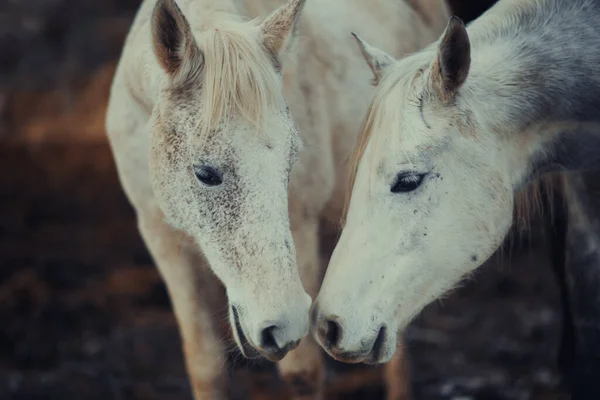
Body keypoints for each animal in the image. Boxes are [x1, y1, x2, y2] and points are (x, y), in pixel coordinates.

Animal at [104, 0, 450, 396]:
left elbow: (303, 373)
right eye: (204, 173)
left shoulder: (302, 226)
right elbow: (205, 366)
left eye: (291, 156)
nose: (280, 326)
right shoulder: (161, 238)